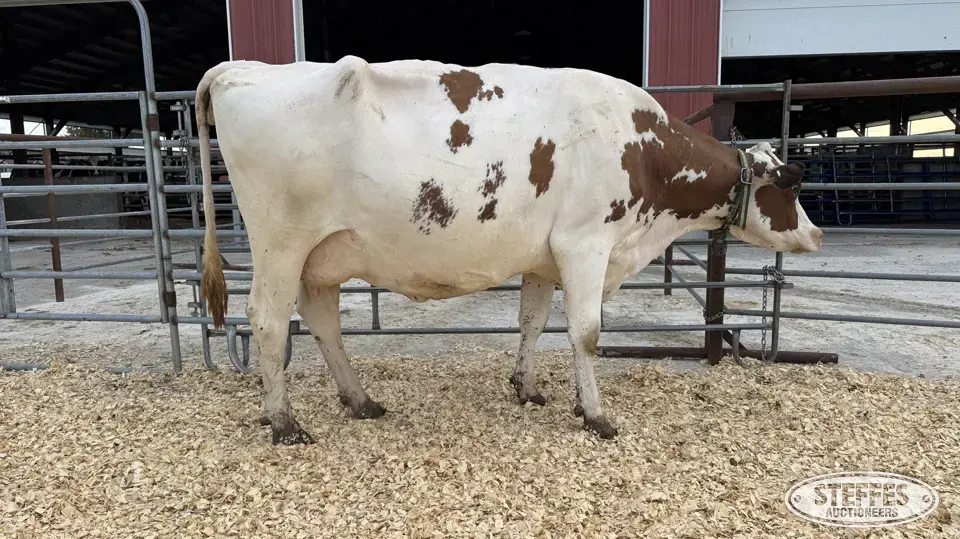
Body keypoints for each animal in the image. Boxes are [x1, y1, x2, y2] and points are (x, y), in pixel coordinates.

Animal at [194, 55, 822, 445]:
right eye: (791, 186)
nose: (816, 235)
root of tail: (240, 69)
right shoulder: (585, 243)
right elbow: (587, 333)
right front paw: (597, 416)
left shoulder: (544, 257)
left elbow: (532, 322)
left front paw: (530, 389)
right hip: (279, 243)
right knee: (268, 321)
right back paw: (284, 423)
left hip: (321, 254)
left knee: (322, 320)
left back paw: (360, 400)